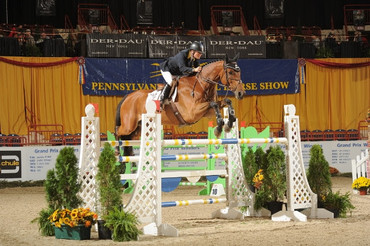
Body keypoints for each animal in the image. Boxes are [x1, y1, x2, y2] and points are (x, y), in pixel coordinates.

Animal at [114, 53, 244, 156]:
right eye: (230, 72)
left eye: (239, 72)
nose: (241, 93)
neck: (201, 84)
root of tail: (128, 96)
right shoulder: (191, 113)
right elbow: (214, 104)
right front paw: (219, 128)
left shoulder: (206, 112)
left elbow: (226, 102)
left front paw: (229, 123)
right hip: (129, 125)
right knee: (117, 131)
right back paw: (116, 151)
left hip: (138, 127)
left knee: (127, 139)